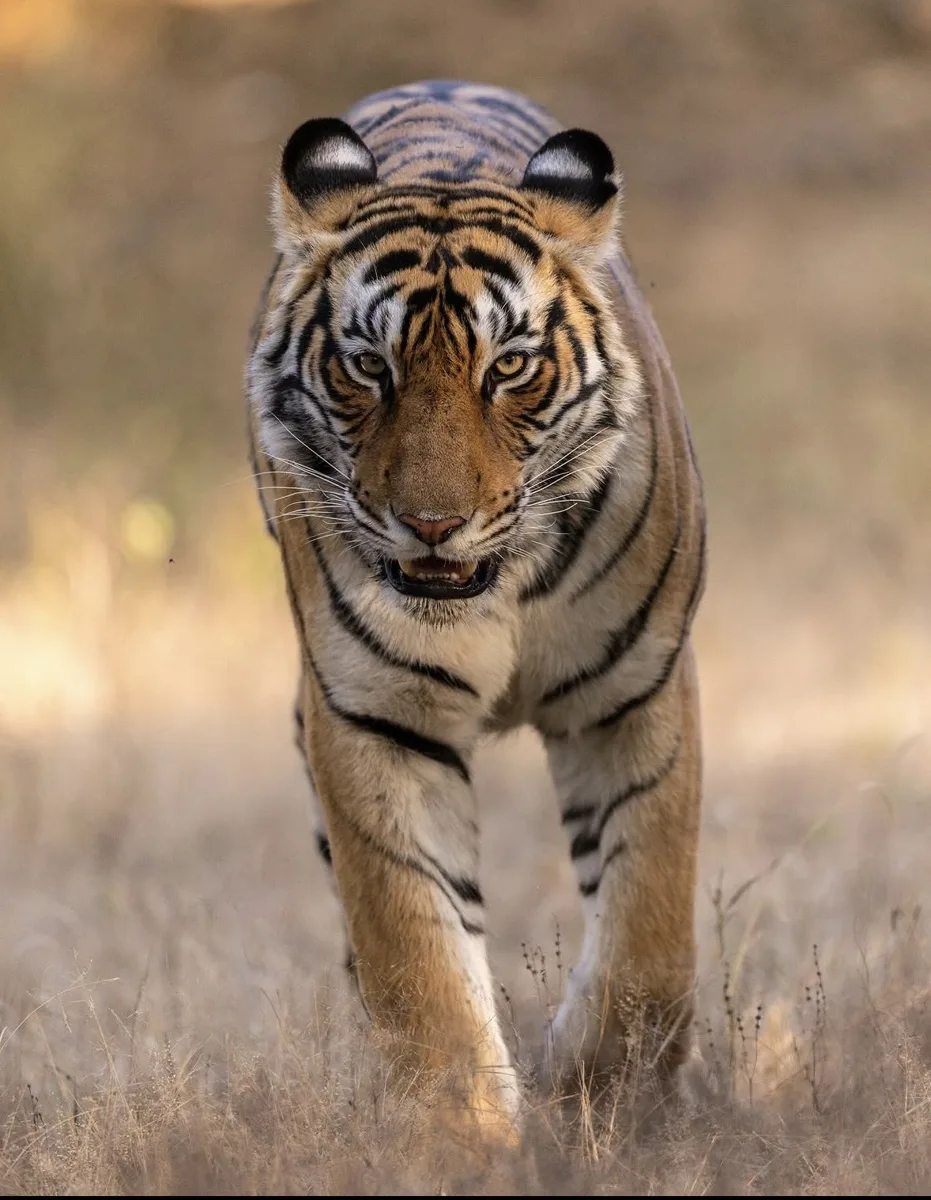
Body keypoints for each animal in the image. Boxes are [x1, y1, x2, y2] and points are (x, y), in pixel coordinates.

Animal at [245, 80, 706, 1142]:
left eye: (508, 368)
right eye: (367, 366)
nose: (431, 523)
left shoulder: (637, 690)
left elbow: (650, 930)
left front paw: (598, 1093)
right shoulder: (373, 716)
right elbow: (414, 954)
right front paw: (462, 1136)